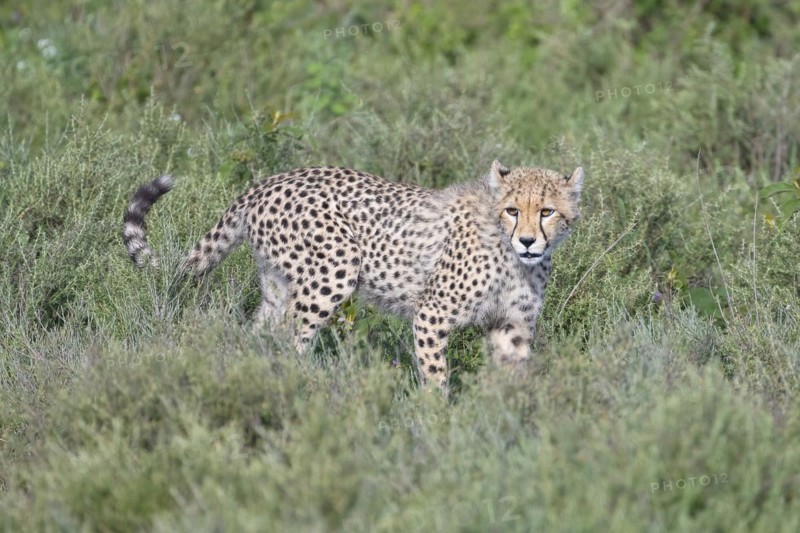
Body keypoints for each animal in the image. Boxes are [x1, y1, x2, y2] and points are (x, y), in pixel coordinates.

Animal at [123, 160, 583, 389]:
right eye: (512, 210)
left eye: (547, 211)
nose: (528, 241)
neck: (512, 256)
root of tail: (270, 179)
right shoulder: (431, 315)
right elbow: (436, 375)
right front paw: (440, 421)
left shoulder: (512, 324)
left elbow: (513, 374)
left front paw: (508, 420)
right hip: (334, 270)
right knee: (292, 336)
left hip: (278, 283)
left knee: (260, 333)